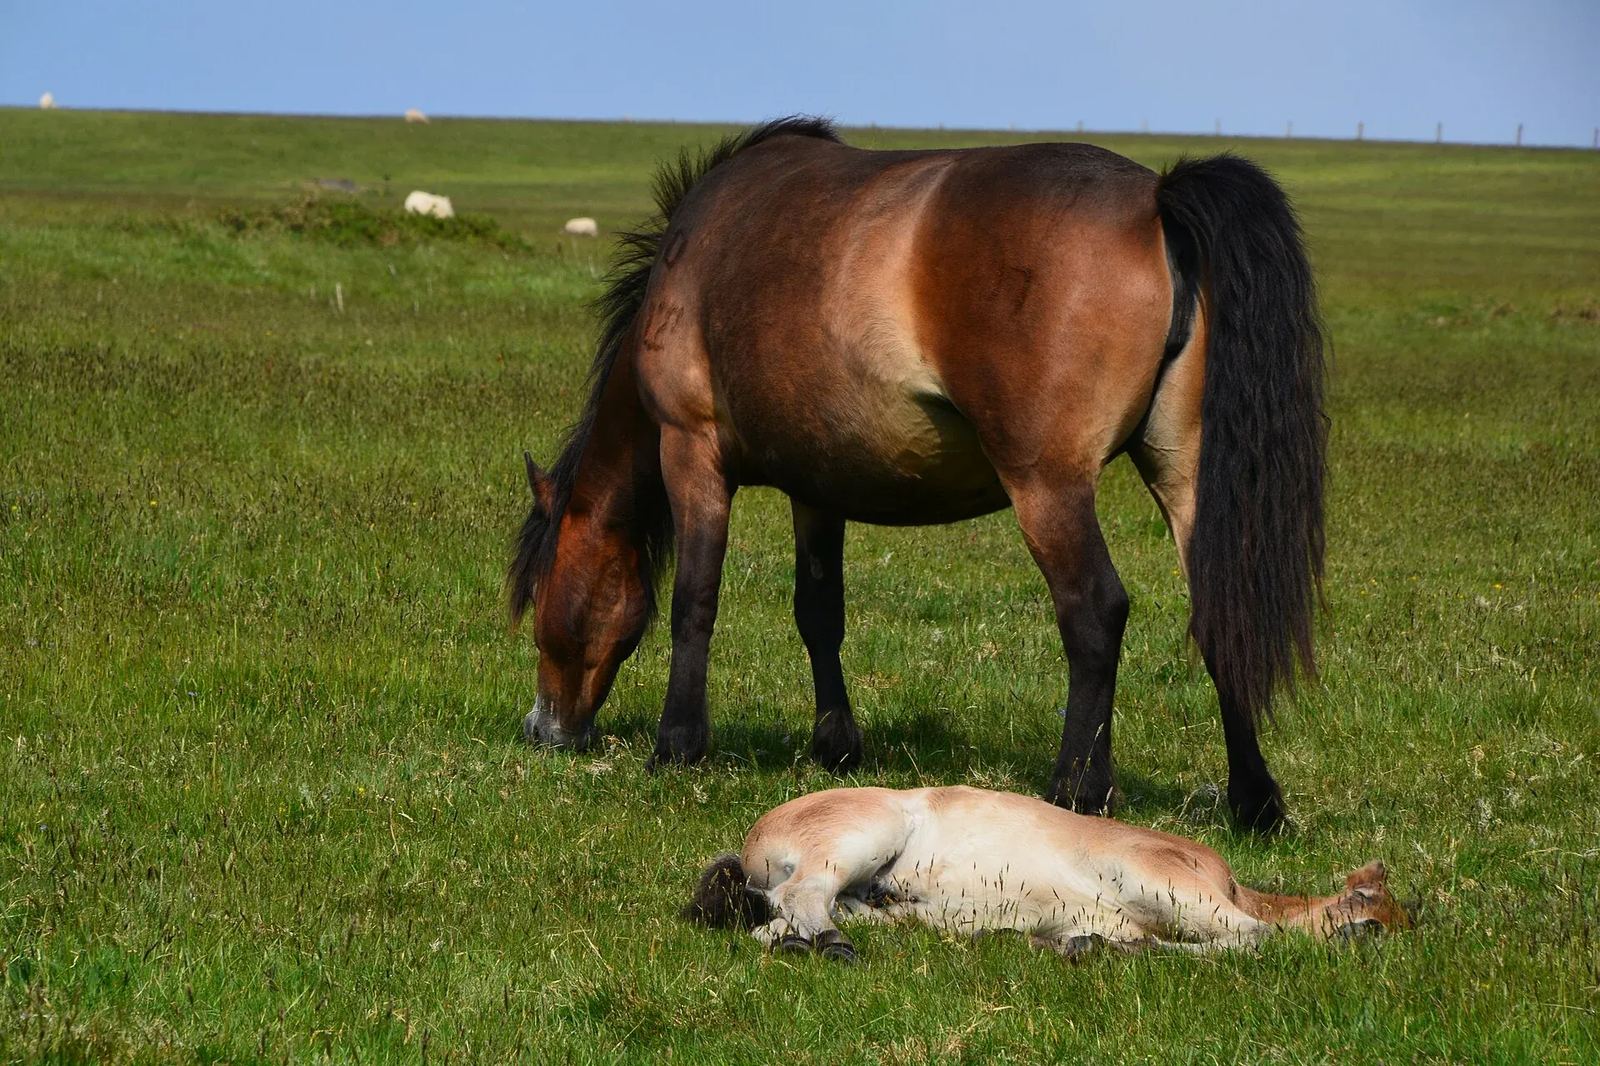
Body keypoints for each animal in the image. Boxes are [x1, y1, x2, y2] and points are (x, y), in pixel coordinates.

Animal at [509, 117, 1326, 831]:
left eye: (542, 596)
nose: (543, 729)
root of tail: (1156, 199)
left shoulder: (691, 451)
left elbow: (693, 602)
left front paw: (677, 745)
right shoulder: (817, 486)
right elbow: (818, 611)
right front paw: (836, 745)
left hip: (1048, 486)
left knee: (1094, 611)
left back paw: (1076, 788)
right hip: (1184, 476)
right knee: (1219, 614)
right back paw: (1254, 802)